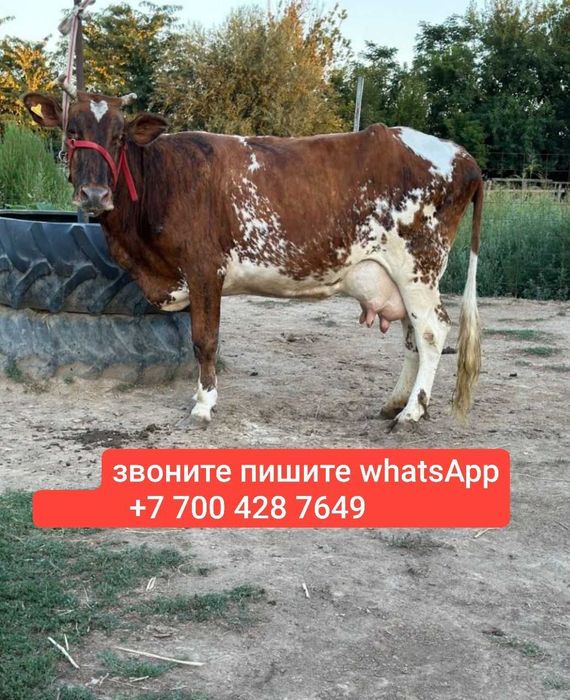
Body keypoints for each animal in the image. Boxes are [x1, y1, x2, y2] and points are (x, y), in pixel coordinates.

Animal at [23, 83, 482, 429]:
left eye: (119, 138)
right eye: (71, 131)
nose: (94, 195)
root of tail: (462, 156)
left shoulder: (204, 269)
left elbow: (204, 340)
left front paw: (203, 404)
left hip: (418, 266)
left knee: (431, 332)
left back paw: (412, 413)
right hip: (400, 278)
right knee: (412, 336)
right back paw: (394, 403)